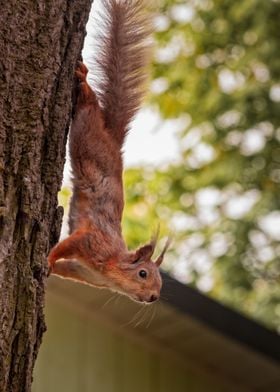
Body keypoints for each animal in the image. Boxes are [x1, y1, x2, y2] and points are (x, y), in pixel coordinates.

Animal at [47, 0, 171, 304]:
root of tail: (113, 140)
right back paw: (83, 78)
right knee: (89, 102)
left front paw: (49, 271)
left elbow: (66, 267)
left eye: (161, 283)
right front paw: (46, 260)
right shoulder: (91, 242)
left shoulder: (82, 271)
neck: (111, 270)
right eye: (143, 274)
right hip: (87, 131)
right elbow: (67, 244)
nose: (153, 297)